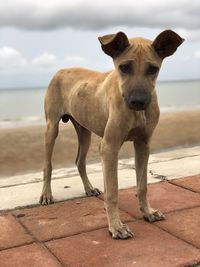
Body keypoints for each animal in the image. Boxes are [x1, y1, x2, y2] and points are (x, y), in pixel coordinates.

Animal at [39, 29, 184, 241]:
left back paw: (89, 188)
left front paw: (148, 212)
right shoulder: (110, 146)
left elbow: (142, 185)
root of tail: (60, 70)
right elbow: (113, 191)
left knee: (80, 161)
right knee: (48, 165)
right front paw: (116, 226)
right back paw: (46, 194)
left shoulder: (143, 145)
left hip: (85, 132)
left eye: (153, 69)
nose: (138, 102)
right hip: (52, 128)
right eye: (124, 67)